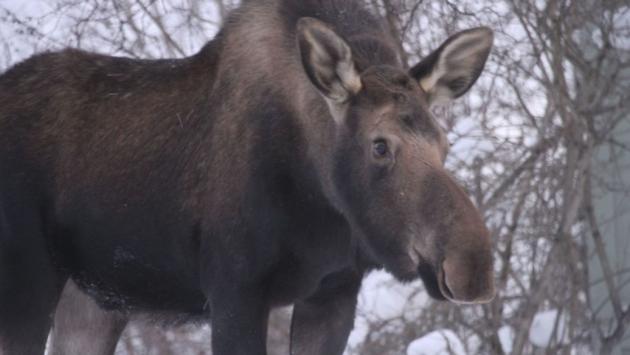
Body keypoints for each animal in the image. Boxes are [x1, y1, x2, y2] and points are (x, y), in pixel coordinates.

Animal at [1, 0, 498, 355]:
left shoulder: (334, 292)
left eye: (443, 142)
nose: (472, 265)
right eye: (379, 145)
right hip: (28, 283)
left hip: (91, 299)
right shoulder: (235, 290)